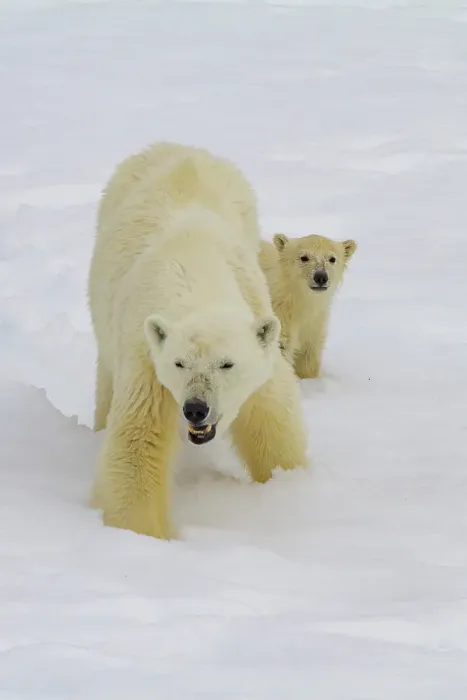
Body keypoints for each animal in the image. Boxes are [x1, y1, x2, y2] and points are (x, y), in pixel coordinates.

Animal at [87, 141, 308, 540]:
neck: (194, 269)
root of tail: (175, 146)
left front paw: (290, 486)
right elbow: (138, 442)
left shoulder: (255, 318)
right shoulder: (147, 357)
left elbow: (271, 416)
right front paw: (141, 535)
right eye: (180, 363)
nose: (195, 408)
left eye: (227, 363)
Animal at [259, 233, 357, 379]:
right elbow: (282, 346)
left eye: (332, 258)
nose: (321, 277)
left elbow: (308, 354)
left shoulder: (314, 322)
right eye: (304, 257)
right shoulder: (280, 314)